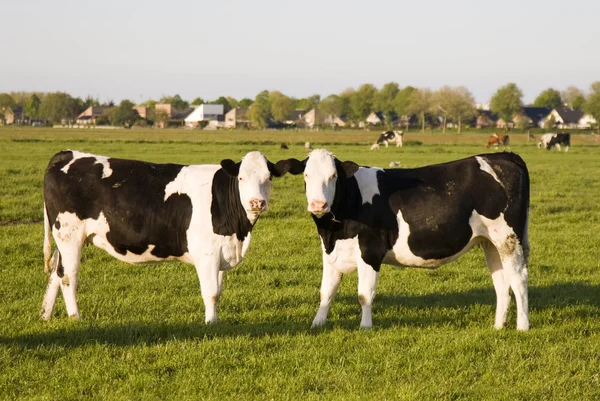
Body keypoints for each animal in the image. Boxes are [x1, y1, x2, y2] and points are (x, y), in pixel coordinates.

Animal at [41, 150, 290, 322]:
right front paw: (211, 324)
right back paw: (75, 318)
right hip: (70, 235)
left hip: (63, 238)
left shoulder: (220, 252)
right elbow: (210, 292)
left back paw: (45, 315)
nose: (256, 203)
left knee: (55, 272)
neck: (238, 232)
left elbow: (218, 292)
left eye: (269, 178)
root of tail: (67, 154)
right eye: (241, 179)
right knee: (67, 276)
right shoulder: (207, 254)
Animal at [278, 148, 532, 330]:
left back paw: (522, 326)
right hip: (491, 243)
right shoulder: (330, 253)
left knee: (518, 279)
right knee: (501, 282)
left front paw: (365, 327)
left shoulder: (370, 251)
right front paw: (317, 324)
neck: (334, 230)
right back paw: (498, 326)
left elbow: (364, 294)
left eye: (333, 176)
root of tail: (503, 156)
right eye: (306, 175)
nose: (318, 205)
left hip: (509, 238)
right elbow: (326, 292)